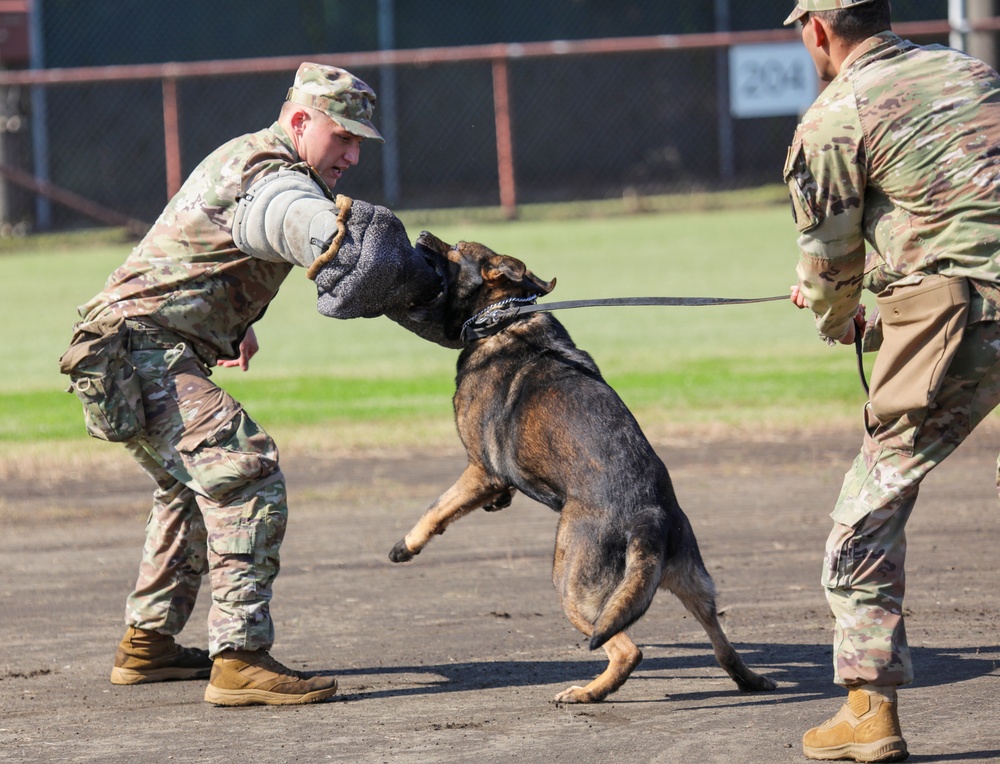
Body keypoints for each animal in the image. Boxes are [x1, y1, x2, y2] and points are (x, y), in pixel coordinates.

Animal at [386, 233, 776, 704]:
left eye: (458, 247)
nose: (424, 235)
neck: (503, 319)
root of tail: (651, 516)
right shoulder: (492, 475)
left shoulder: (479, 467)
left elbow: (437, 508)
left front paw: (405, 546)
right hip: (695, 586)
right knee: (721, 644)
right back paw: (750, 679)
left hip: (571, 584)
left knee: (628, 650)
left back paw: (587, 693)